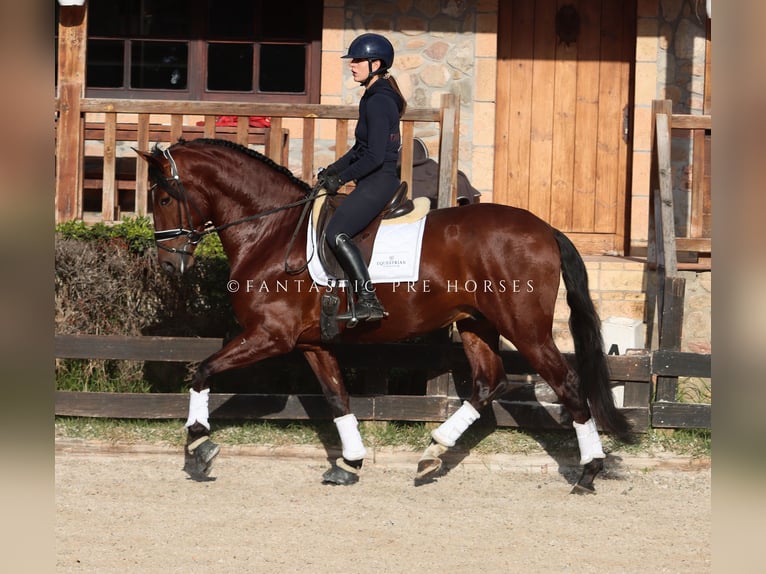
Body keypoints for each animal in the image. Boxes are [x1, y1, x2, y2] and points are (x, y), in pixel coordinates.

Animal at [138, 138, 636, 496]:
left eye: (162, 198)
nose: (168, 265)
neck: (272, 232)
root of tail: (545, 229)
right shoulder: (311, 342)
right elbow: (337, 398)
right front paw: (350, 462)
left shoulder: (269, 335)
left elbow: (203, 371)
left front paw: (199, 444)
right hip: (476, 323)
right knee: (487, 384)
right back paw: (433, 452)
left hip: (525, 328)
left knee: (566, 383)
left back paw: (588, 471)